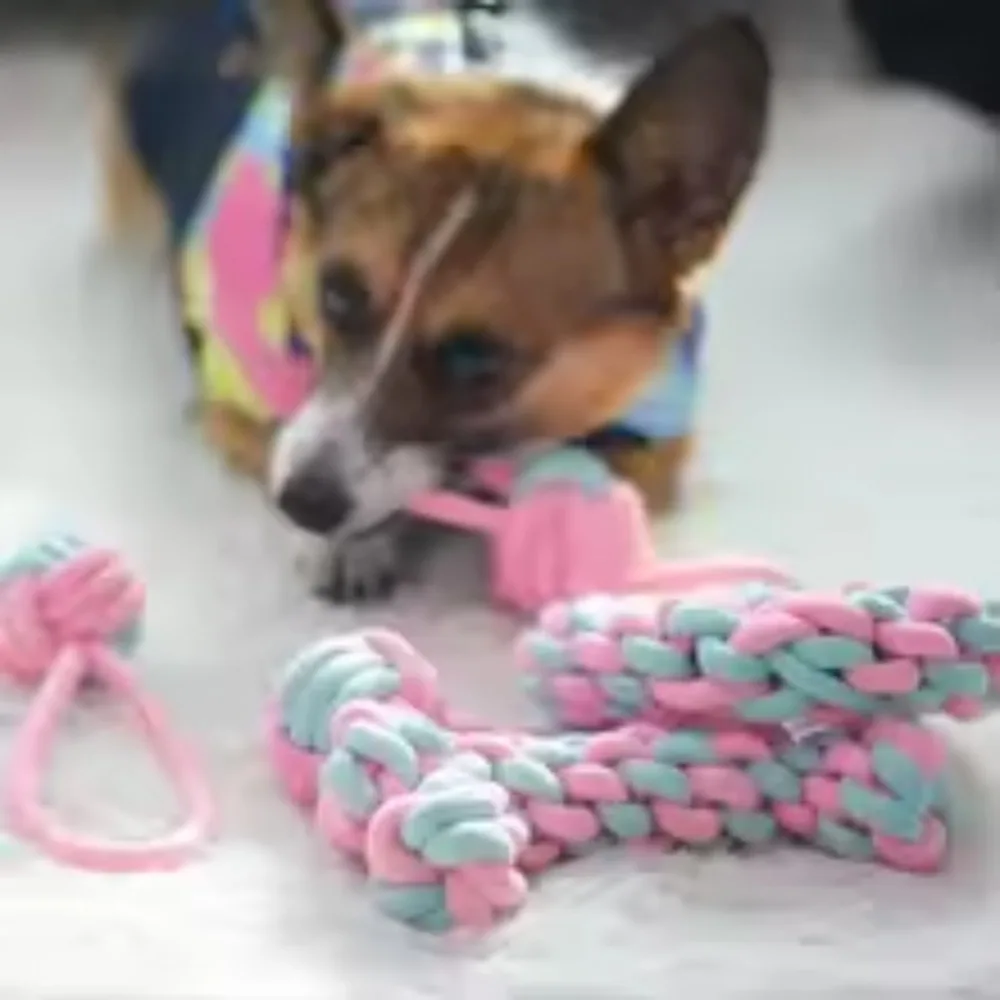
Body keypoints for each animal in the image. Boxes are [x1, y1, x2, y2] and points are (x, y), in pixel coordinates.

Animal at [99, 1, 771, 600]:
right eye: (337, 294)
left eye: (477, 358)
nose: (302, 503)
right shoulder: (237, 407)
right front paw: (348, 545)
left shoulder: (661, 431)